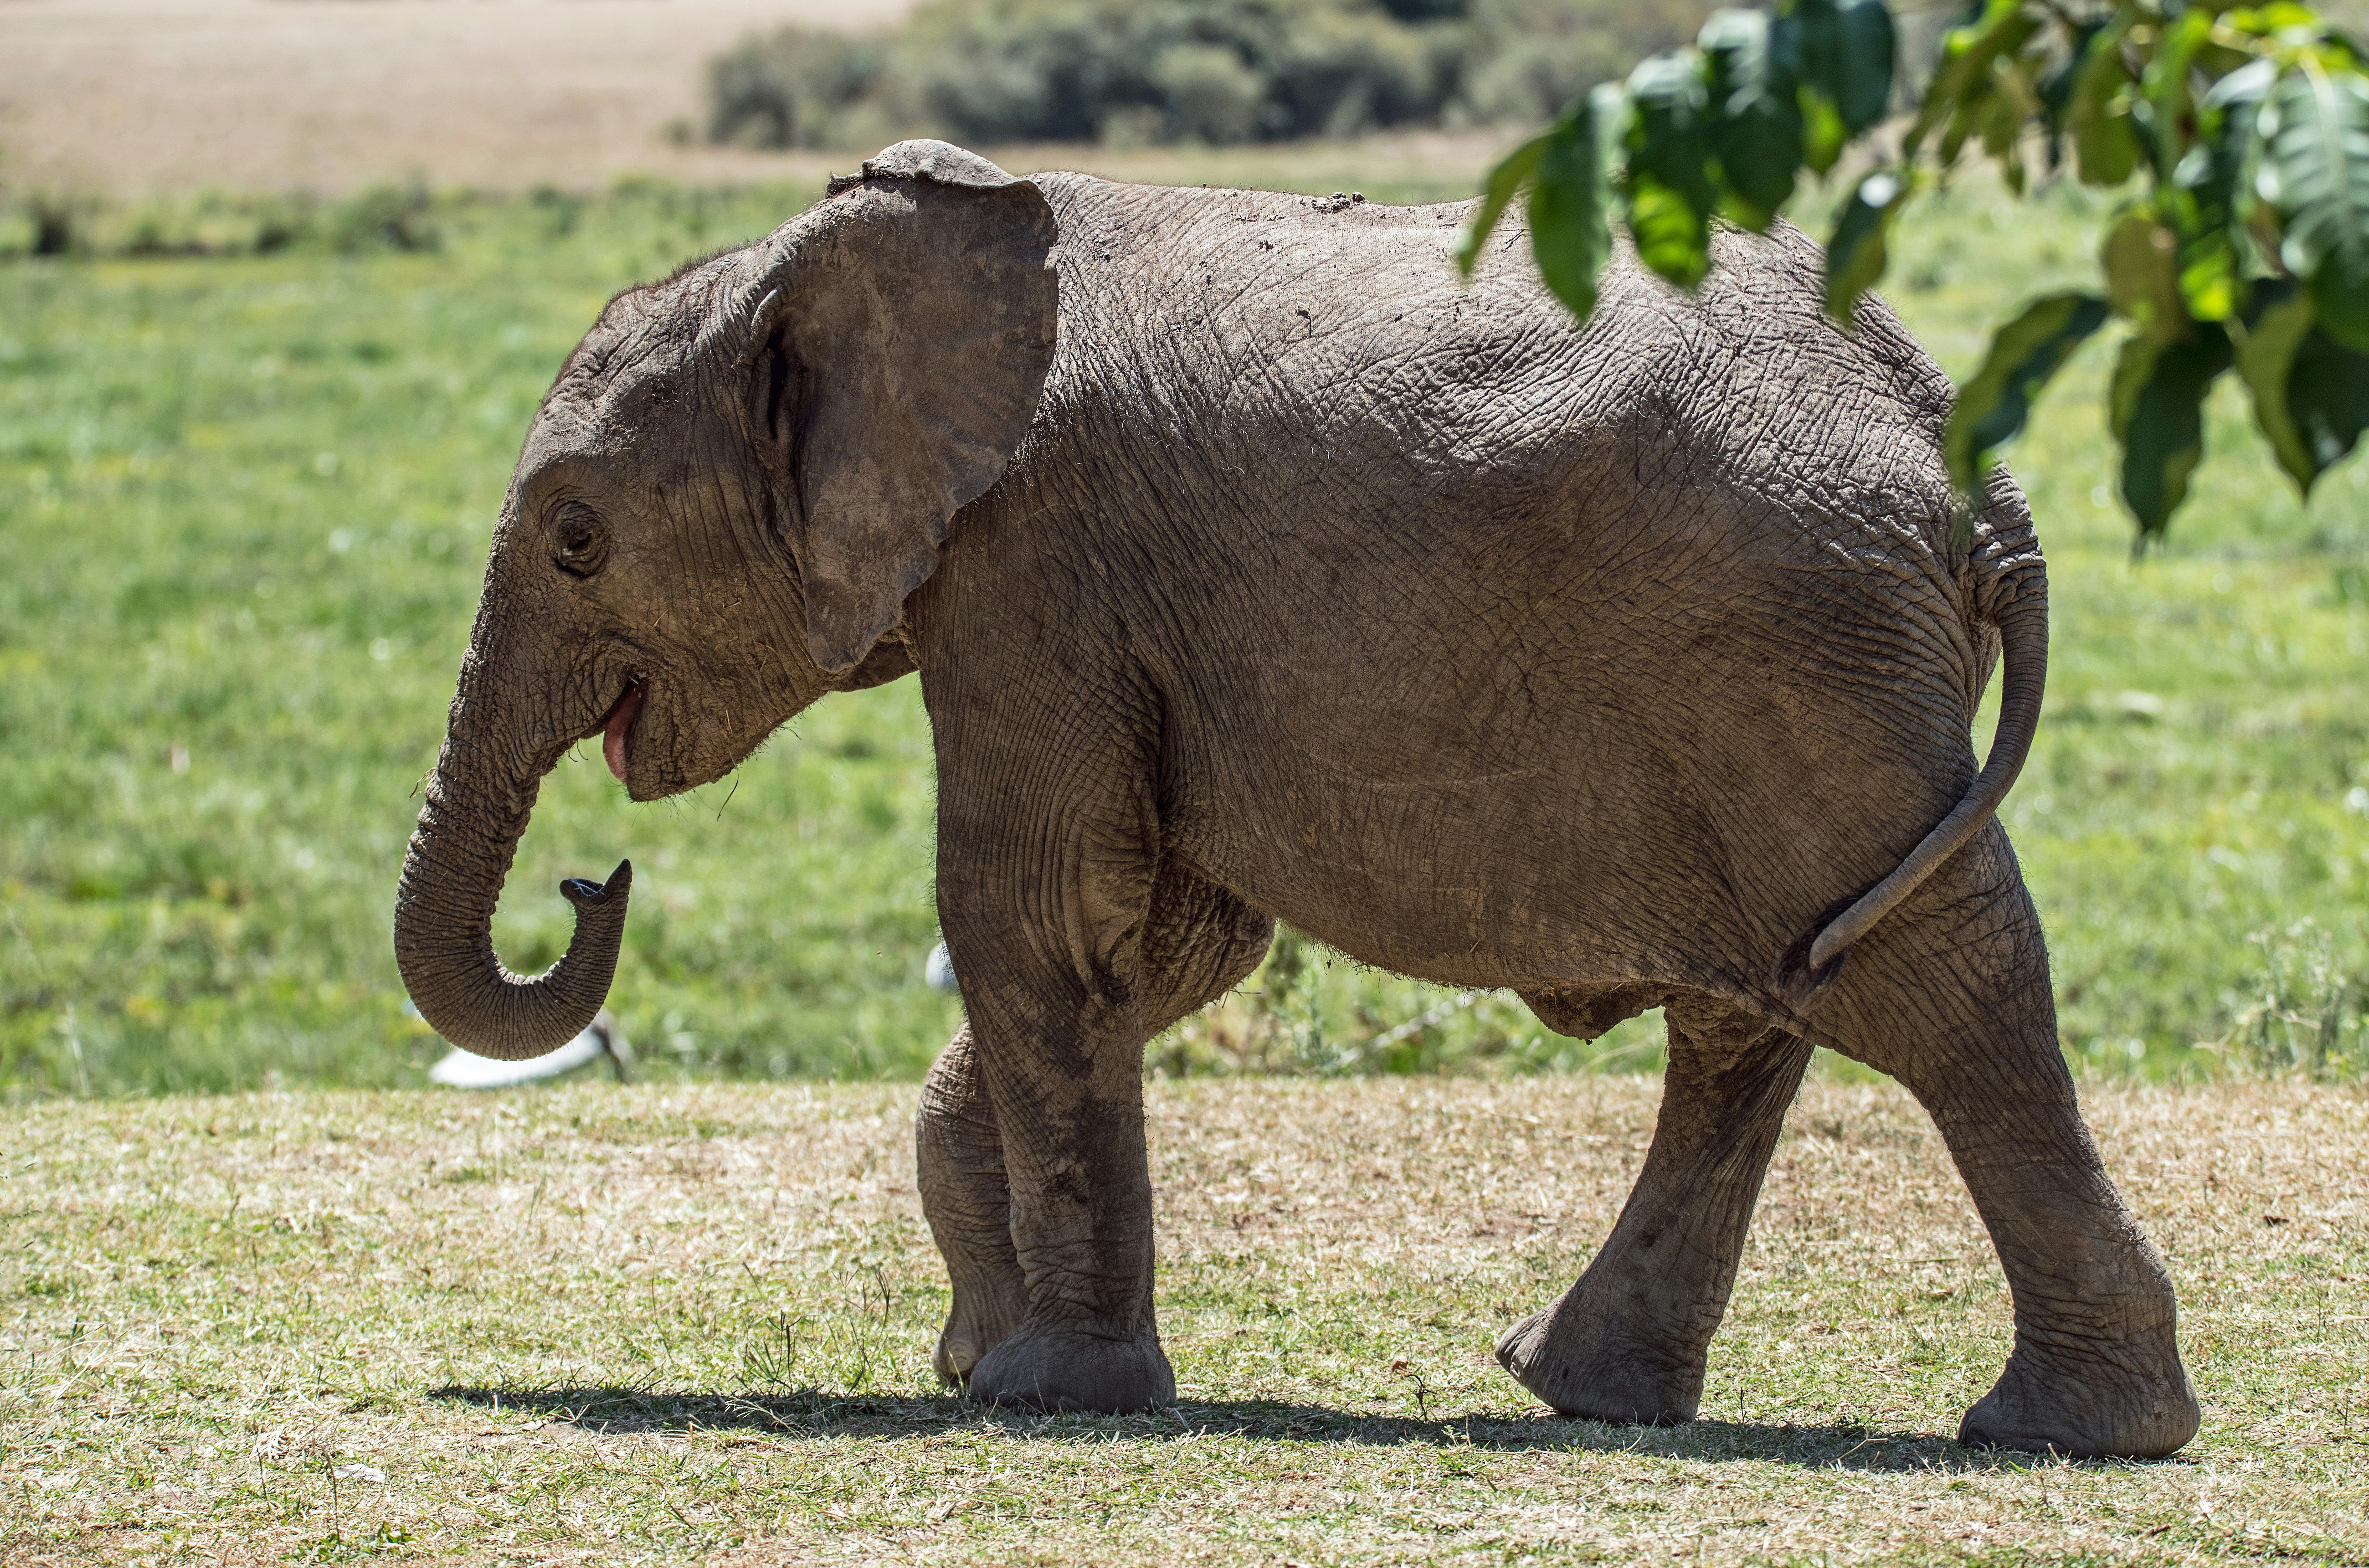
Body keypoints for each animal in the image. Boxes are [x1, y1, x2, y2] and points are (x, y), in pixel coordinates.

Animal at [393, 135, 2198, 1459]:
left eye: (573, 538)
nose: (591, 884)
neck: (826, 261)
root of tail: (1962, 456)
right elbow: (1162, 936)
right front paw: (977, 1353)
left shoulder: (1035, 562)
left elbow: (1031, 905)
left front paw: (1045, 1386)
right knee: (1767, 993)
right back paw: (1581, 1385)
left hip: (1791, 657)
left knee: (1933, 982)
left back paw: (2067, 1428)